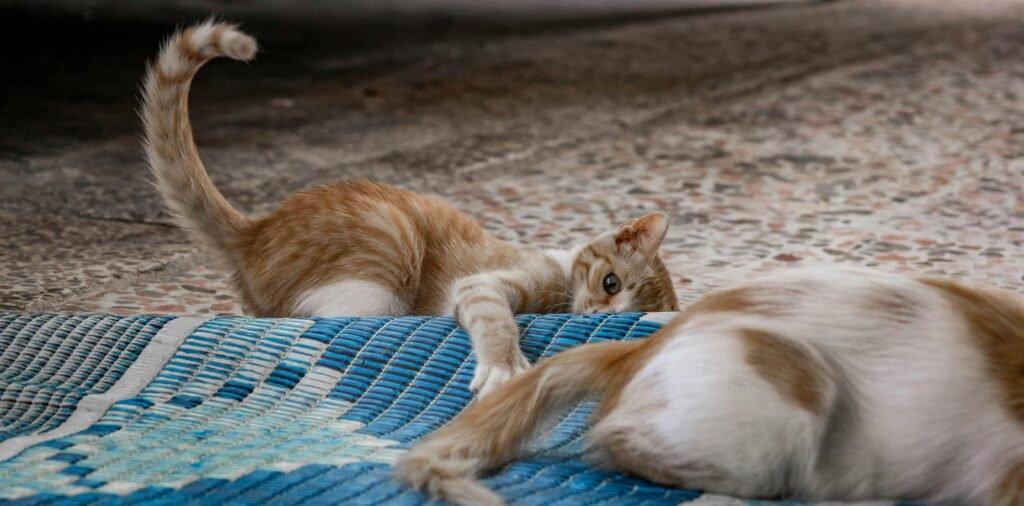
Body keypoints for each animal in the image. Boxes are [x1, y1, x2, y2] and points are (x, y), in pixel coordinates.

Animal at [138, 22, 679, 395]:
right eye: (611, 283)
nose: (596, 316)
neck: (562, 277)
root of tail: (256, 232)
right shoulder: (482, 284)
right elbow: (496, 319)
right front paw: (504, 366)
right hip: (388, 253)